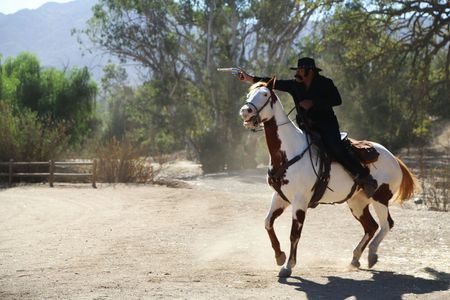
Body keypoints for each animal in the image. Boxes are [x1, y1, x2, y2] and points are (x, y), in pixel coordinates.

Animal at [239, 77, 418, 276]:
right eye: (249, 94)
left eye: (265, 94)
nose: (245, 111)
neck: (290, 150)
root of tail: (394, 158)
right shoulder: (280, 197)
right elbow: (268, 223)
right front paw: (279, 256)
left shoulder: (300, 201)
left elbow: (295, 234)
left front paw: (288, 266)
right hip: (357, 202)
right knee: (371, 226)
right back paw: (355, 258)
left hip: (380, 198)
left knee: (386, 224)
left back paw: (372, 255)